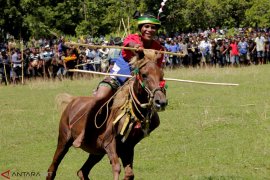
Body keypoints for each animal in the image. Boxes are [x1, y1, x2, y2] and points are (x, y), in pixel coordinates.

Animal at [47, 49, 168, 180]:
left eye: (162, 75)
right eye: (144, 75)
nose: (161, 102)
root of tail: (72, 101)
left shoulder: (127, 147)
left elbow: (129, 174)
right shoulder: (109, 143)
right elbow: (116, 167)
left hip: (96, 152)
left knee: (82, 171)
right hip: (64, 140)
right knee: (52, 169)